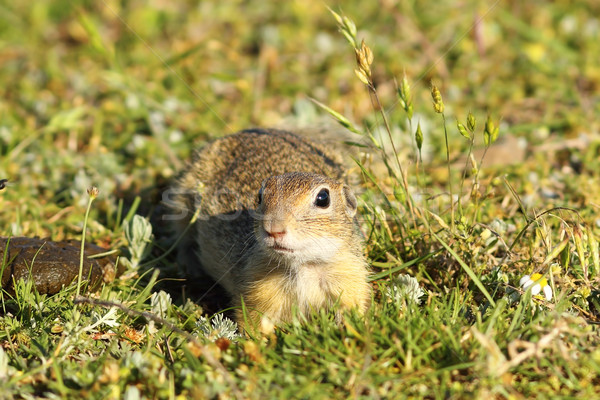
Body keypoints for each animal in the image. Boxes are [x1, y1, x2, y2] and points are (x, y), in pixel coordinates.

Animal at [165, 129, 370, 334]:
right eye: (260, 196)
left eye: (323, 198)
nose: (273, 229)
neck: (304, 266)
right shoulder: (257, 292)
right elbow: (252, 322)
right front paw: (257, 341)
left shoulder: (349, 278)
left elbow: (353, 310)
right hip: (182, 199)